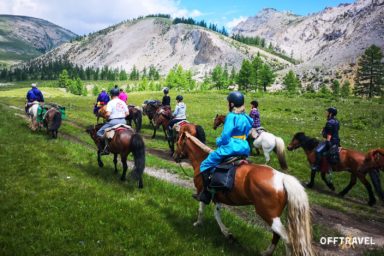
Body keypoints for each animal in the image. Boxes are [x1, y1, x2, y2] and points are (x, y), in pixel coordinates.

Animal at [174, 127, 316, 256]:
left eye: (177, 142)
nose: (174, 156)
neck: (202, 159)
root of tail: (282, 178)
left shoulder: (203, 192)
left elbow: (201, 210)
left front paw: (198, 223)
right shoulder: (217, 198)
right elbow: (216, 214)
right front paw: (227, 234)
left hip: (269, 215)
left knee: (286, 238)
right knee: (277, 235)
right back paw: (266, 252)